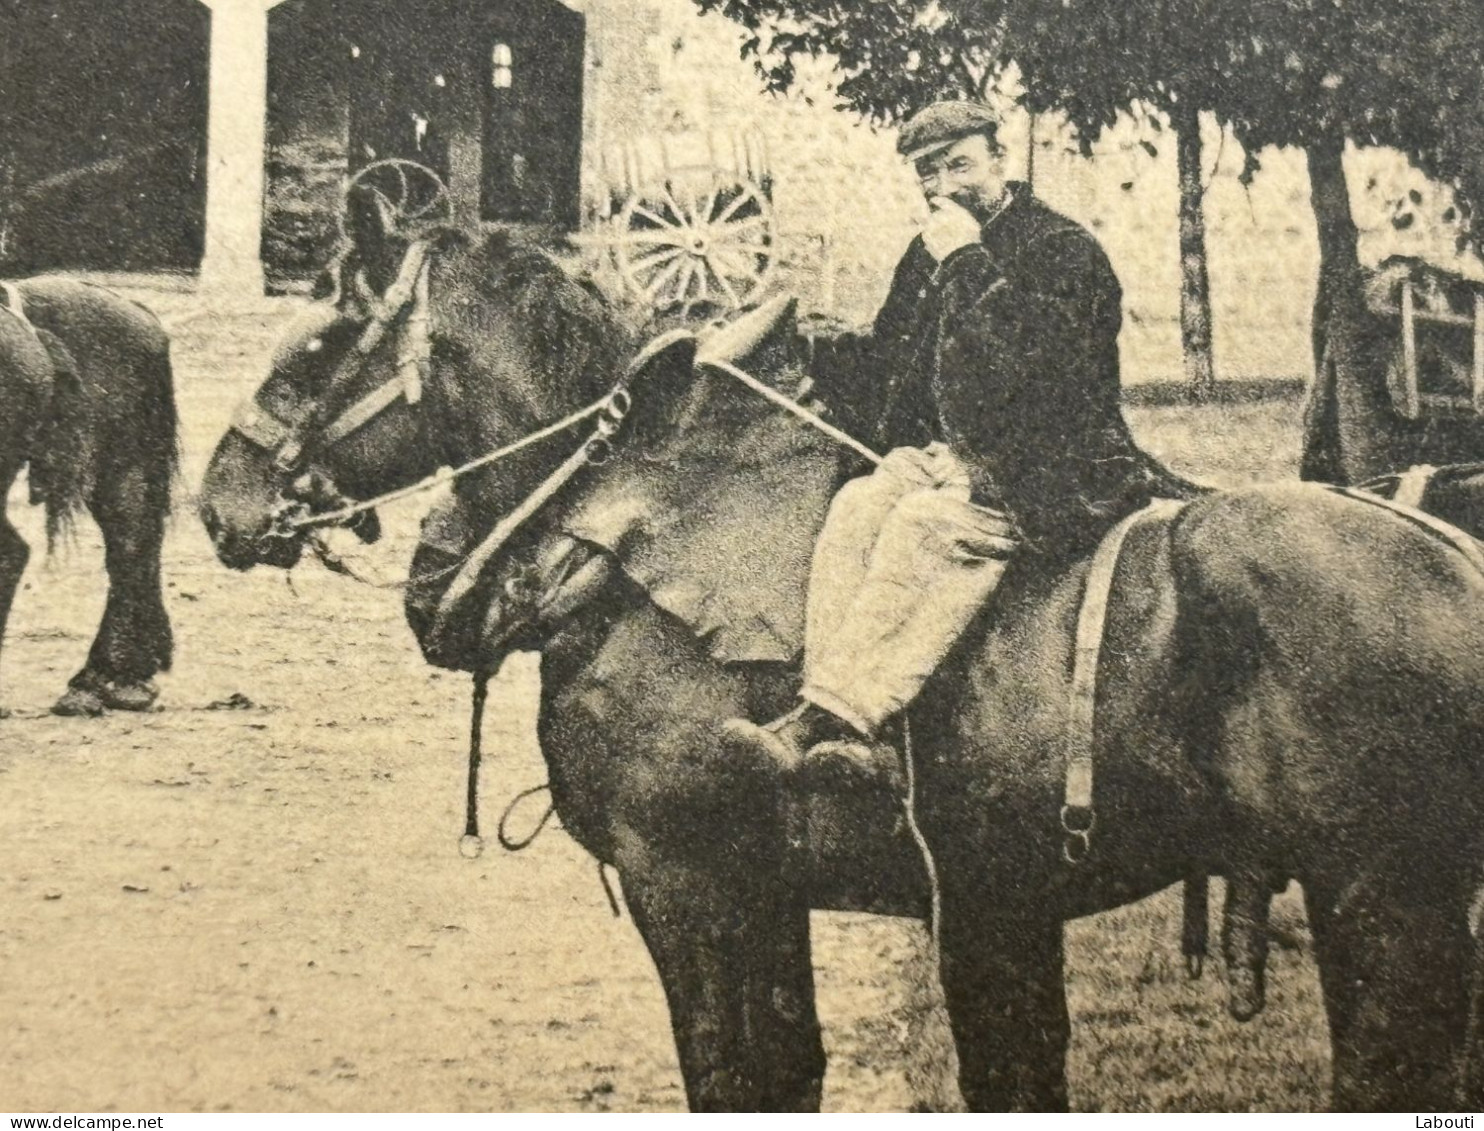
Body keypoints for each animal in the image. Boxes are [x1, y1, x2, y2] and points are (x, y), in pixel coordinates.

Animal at [197, 207, 1484, 1104]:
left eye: (315, 346)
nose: (220, 499)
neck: (622, 535)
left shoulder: (686, 886)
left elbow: (729, 1078)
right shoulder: (778, 895)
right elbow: (790, 1072)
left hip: (1382, 903)